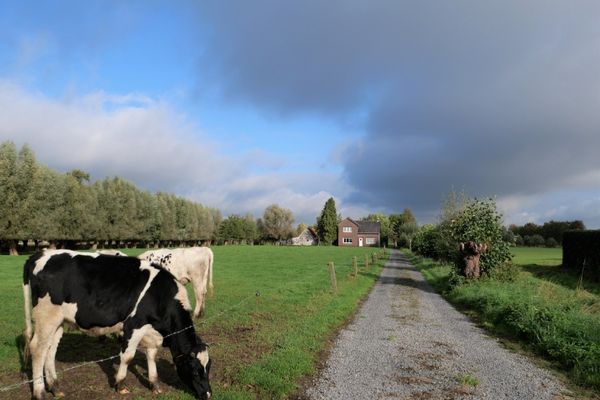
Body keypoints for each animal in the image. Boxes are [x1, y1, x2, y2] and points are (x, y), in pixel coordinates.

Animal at [22, 250, 212, 400]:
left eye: (208, 368)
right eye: (195, 370)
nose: (208, 394)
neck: (161, 295)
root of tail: (41, 254)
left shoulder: (151, 332)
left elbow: (151, 355)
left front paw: (154, 385)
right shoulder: (134, 325)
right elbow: (127, 356)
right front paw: (120, 385)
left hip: (58, 321)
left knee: (50, 350)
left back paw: (55, 388)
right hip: (46, 316)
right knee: (38, 349)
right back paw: (39, 393)